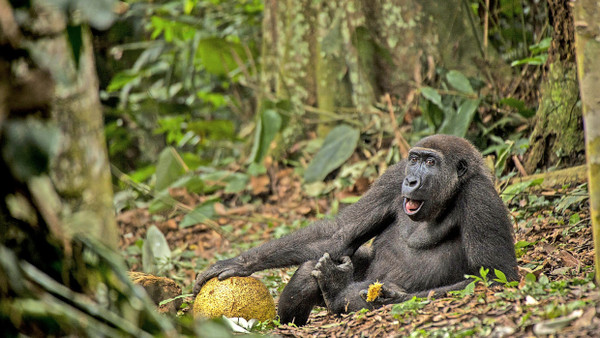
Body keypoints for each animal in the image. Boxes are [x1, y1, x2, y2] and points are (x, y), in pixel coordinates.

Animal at [195, 134, 516, 324]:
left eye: (430, 162)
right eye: (414, 159)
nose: (411, 180)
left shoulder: (480, 197)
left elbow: (495, 277)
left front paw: (393, 296)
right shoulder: (393, 176)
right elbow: (339, 233)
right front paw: (240, 262)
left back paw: (337, 291)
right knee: (315, 263)